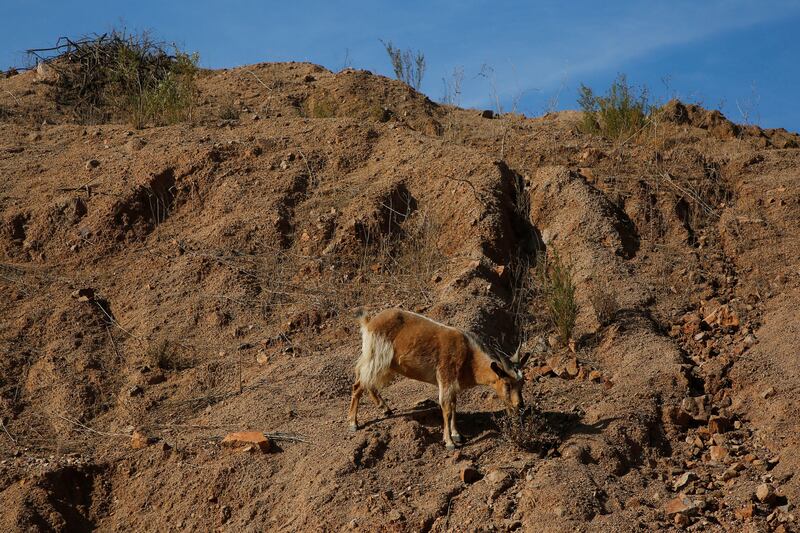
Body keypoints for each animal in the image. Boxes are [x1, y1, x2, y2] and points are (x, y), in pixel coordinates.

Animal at [346, 308, 528, 448]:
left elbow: (454, 407)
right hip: (377, 358)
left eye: (522, 383)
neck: (469, 357)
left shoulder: (453, 386)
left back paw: (385, 408)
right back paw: (353, 423)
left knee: (367, 381)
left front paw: (457, 435)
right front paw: (449, 442)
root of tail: (369, 323)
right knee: (358, 385)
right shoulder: (446, 378)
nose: (520, 405)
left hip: (384, 364)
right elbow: (446, 409)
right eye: (507, 384)